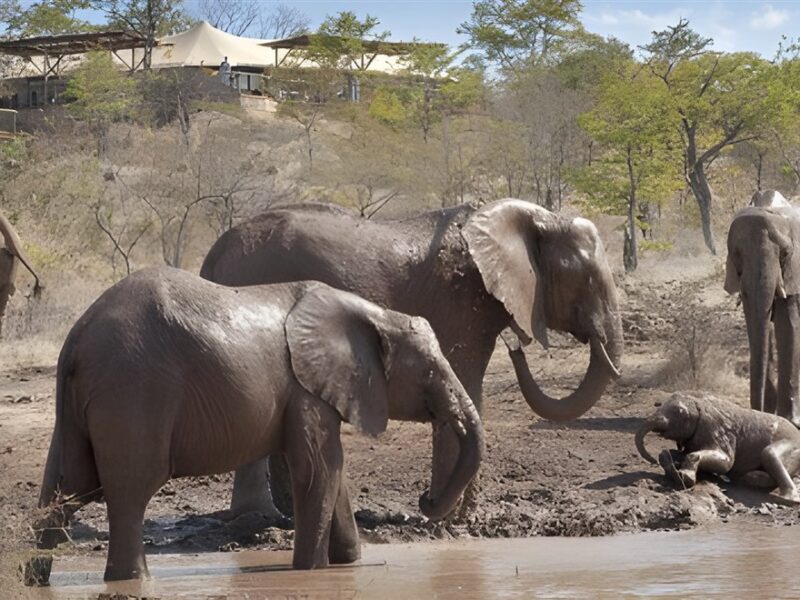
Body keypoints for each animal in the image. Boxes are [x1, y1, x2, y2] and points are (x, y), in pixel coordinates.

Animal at [37, 266, 484, 581]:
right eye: (429, 371)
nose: (425, 502)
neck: (372, 314)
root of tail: (76, 339)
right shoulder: (306, 389)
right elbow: (319, 470)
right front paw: (311, 572)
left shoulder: (307, 390)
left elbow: (332, 473)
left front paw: (348, 564)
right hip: (133, 391)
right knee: (130, 491)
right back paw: (132, 580)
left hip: (84, 404)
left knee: (63, 488)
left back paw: (35, 578)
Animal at [200, 199, 623, 517]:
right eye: (587, 280)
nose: (516, 346)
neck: (532, 217)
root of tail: (211, 257)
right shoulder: (458, 302)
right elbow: (463, 381)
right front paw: (453, 523)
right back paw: (258, 522)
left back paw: (281, 519)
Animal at [636, 393, 800, 503]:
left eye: (679, 412)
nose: (651, 461)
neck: (697, 402)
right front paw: (671, 465)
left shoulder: (715, 430)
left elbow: (726, 463)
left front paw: (684, 477)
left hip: (793, 445)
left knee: (768, 453)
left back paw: (790, 499)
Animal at [725, 204, 800, 426]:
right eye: (736, 254)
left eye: (785, 253)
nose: (755, 412)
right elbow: (756, 324)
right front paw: (768, 412)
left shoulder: (794, 272)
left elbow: (788, 326)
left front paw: (790, 420)